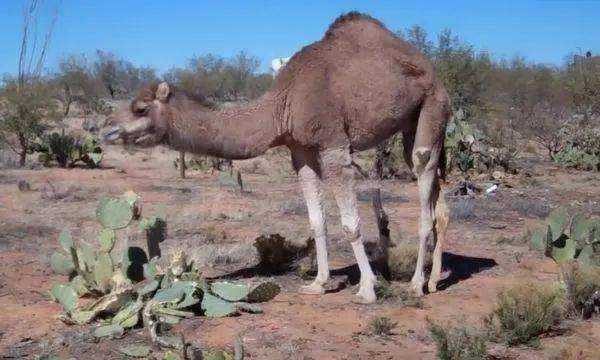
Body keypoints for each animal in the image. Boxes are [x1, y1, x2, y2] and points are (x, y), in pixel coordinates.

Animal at [103, 11, 450, 304]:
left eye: (140, 108)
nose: (106, 131)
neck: (283, 104)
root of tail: (432, 70)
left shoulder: (334, 145)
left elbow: (350, 223)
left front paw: (367, 288)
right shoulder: (300, 150)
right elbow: (316, 220)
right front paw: (318, 283)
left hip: (433, 104)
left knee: (423, 172)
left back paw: (416, 284)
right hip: (413, 122)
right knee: (436, 193)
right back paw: (434, 280)